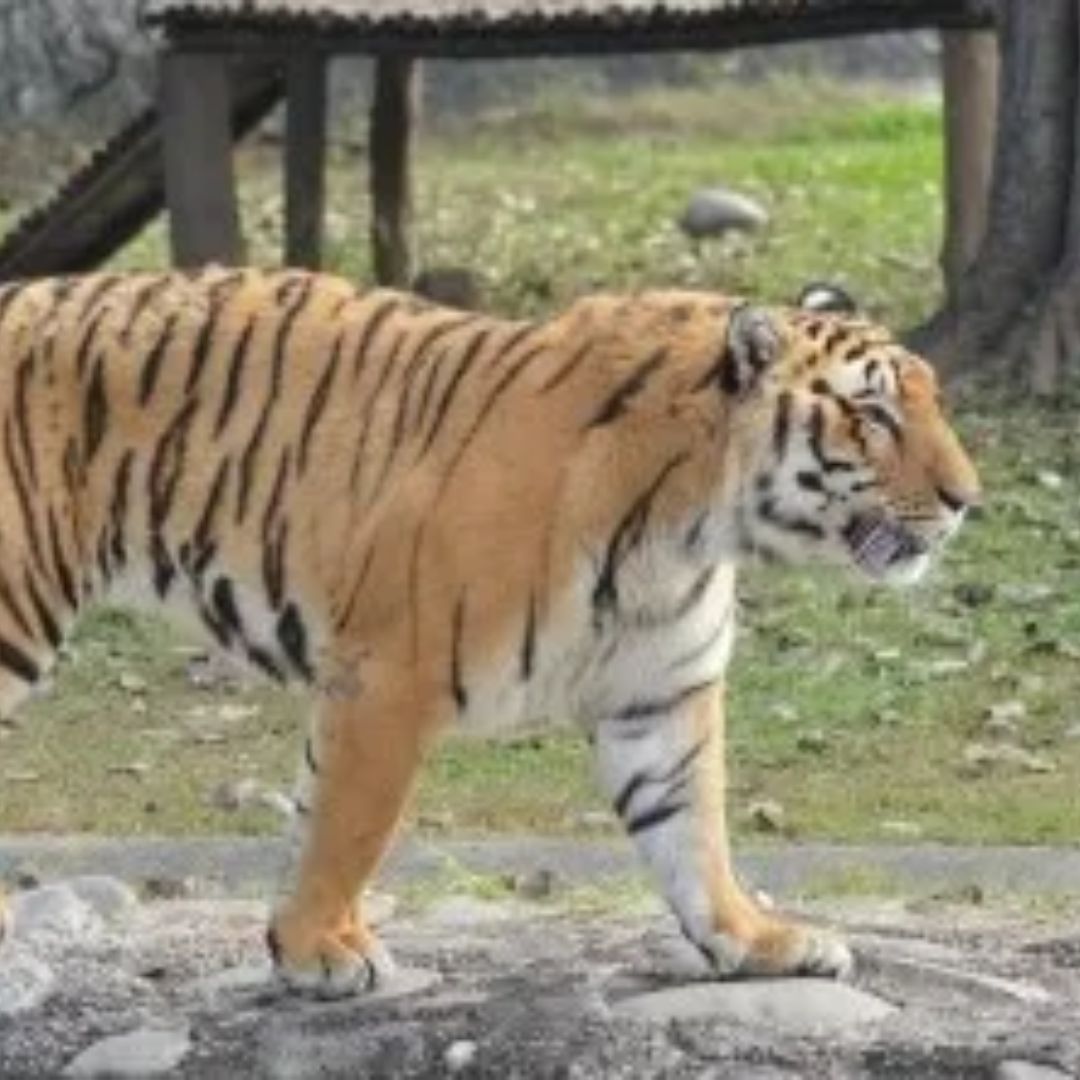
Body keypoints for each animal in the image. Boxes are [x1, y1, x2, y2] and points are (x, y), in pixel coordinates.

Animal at [0, 267, 979, 995]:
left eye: (928, 402)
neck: (693, 525)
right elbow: (348, 826)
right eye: (874, 415)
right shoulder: (388, 678)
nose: (968, 498)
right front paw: (320, 948)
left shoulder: (661, 695)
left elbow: (692, 832)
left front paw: (756, 939)